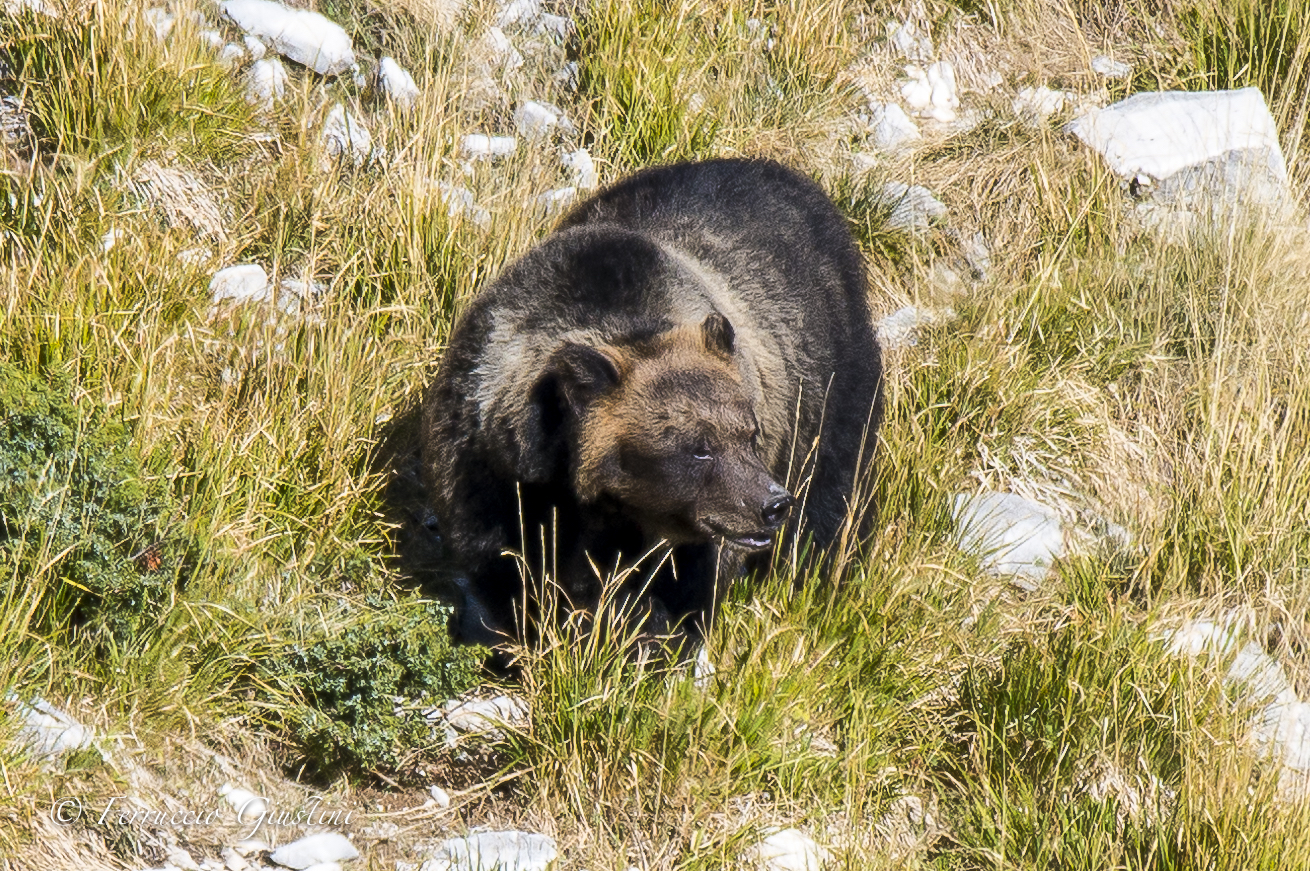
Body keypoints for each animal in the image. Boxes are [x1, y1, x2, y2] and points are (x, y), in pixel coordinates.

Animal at [424, 156, 885, 652]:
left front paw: (647, 642)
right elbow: (504, 571)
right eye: (699, 447)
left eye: (749, 433)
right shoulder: (490, 470)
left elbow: (677, 592)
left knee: (834, 491)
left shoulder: (692, 540)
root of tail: (789, 174)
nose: (771, 503)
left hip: (826, 380)